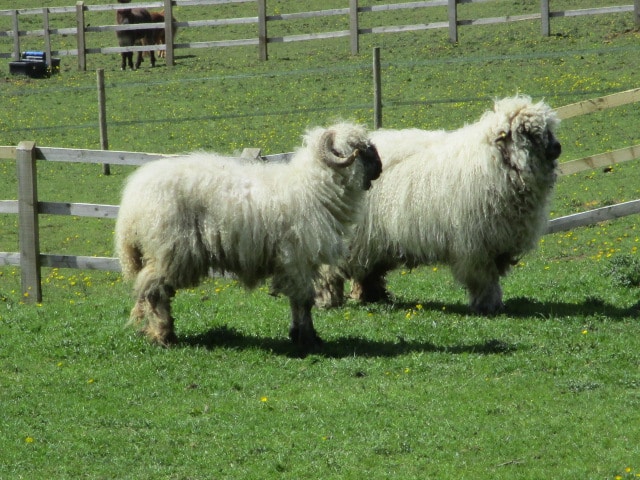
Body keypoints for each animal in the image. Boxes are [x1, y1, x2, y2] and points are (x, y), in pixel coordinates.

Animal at [115, 122, 380, 350]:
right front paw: (307, 339)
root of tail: (132, 201)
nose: (379, 167)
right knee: (154, 291)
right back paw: (164, 335)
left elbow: (298, 301)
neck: (313, 186)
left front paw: (299, 335)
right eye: (359, 148)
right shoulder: (297, 259)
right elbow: (303, 300)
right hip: (169, 250)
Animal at [318, 96, 564, 316]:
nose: (557, 148)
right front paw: (487, 306)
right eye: (527, 132)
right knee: (329, 270)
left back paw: (373, 297)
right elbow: (484, 279)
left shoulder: (498, 244)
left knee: (367, 270)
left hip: (373, 240)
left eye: (548, 129)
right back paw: (328, 300)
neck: (493, 160)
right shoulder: (475, 246)